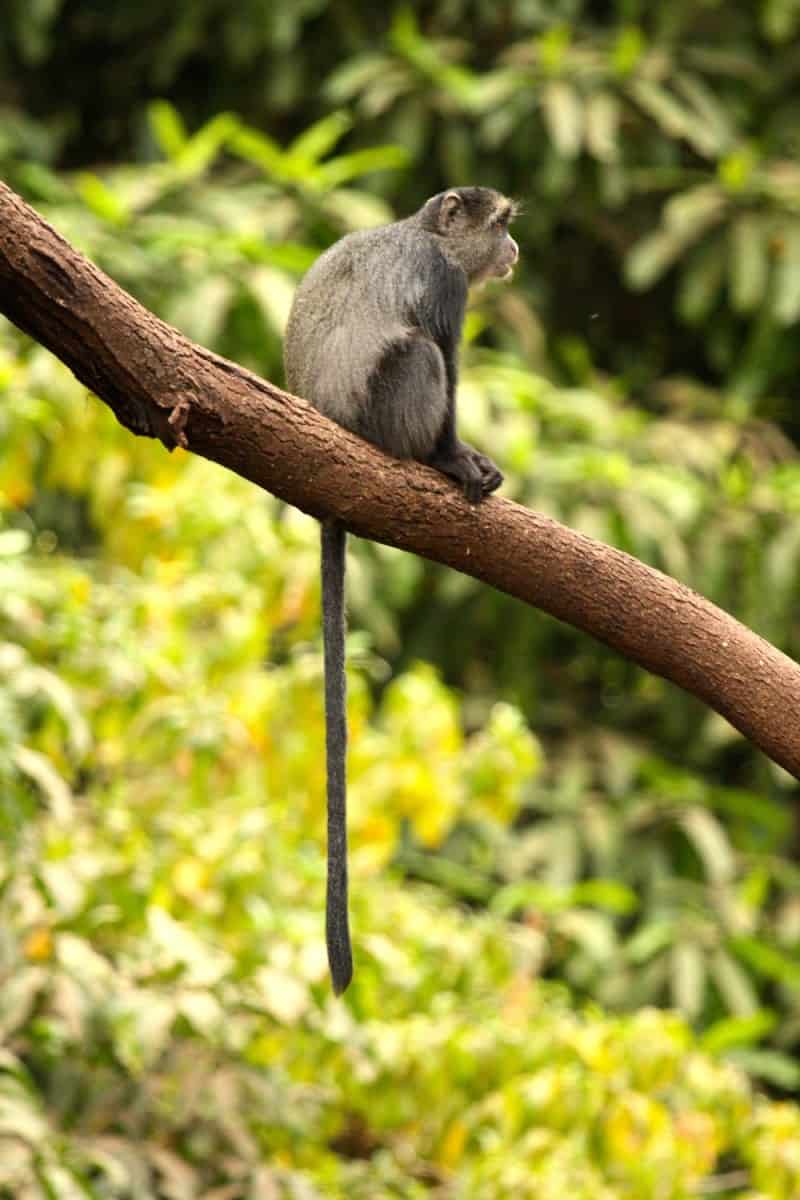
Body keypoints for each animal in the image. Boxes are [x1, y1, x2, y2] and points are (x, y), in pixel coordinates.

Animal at [283, 187, 519, 993]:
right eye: (502, 224)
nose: (516, 250)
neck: (427, 236)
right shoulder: (442, 286)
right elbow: (444, 355)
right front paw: (459, 458)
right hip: (383, 410)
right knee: (418, 354)